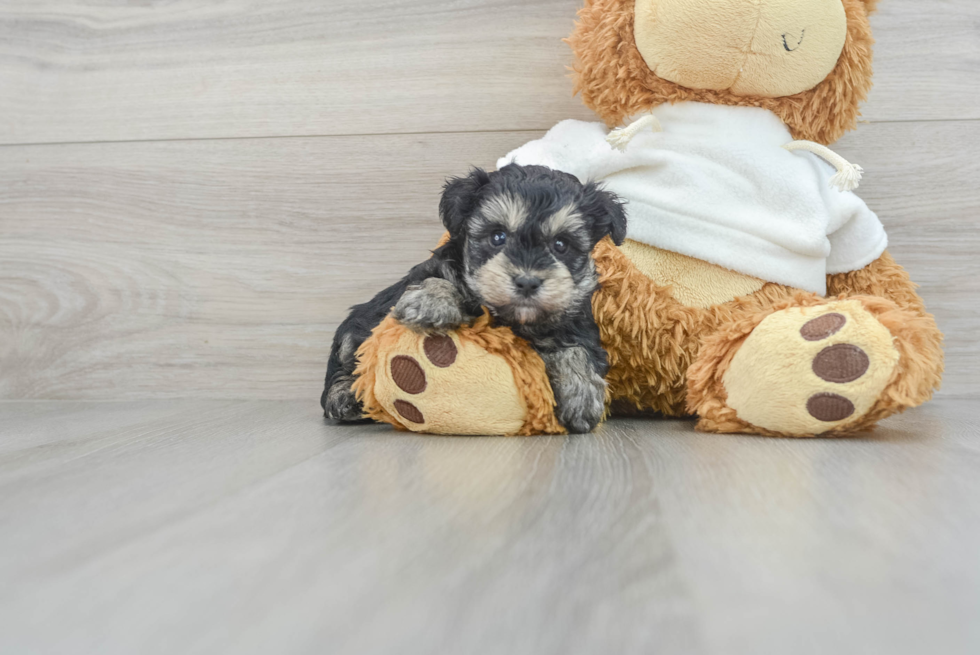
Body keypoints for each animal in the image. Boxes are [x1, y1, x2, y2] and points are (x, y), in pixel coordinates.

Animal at [322, 163, 628, 436]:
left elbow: (578, 349)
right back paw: (344, 397)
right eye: (498, 236)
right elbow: (445, 281)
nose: (527, 281)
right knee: (347, 364)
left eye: (561, 244)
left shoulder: (578, 321)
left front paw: (582, 395)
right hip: (357, 327)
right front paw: (431, 300)